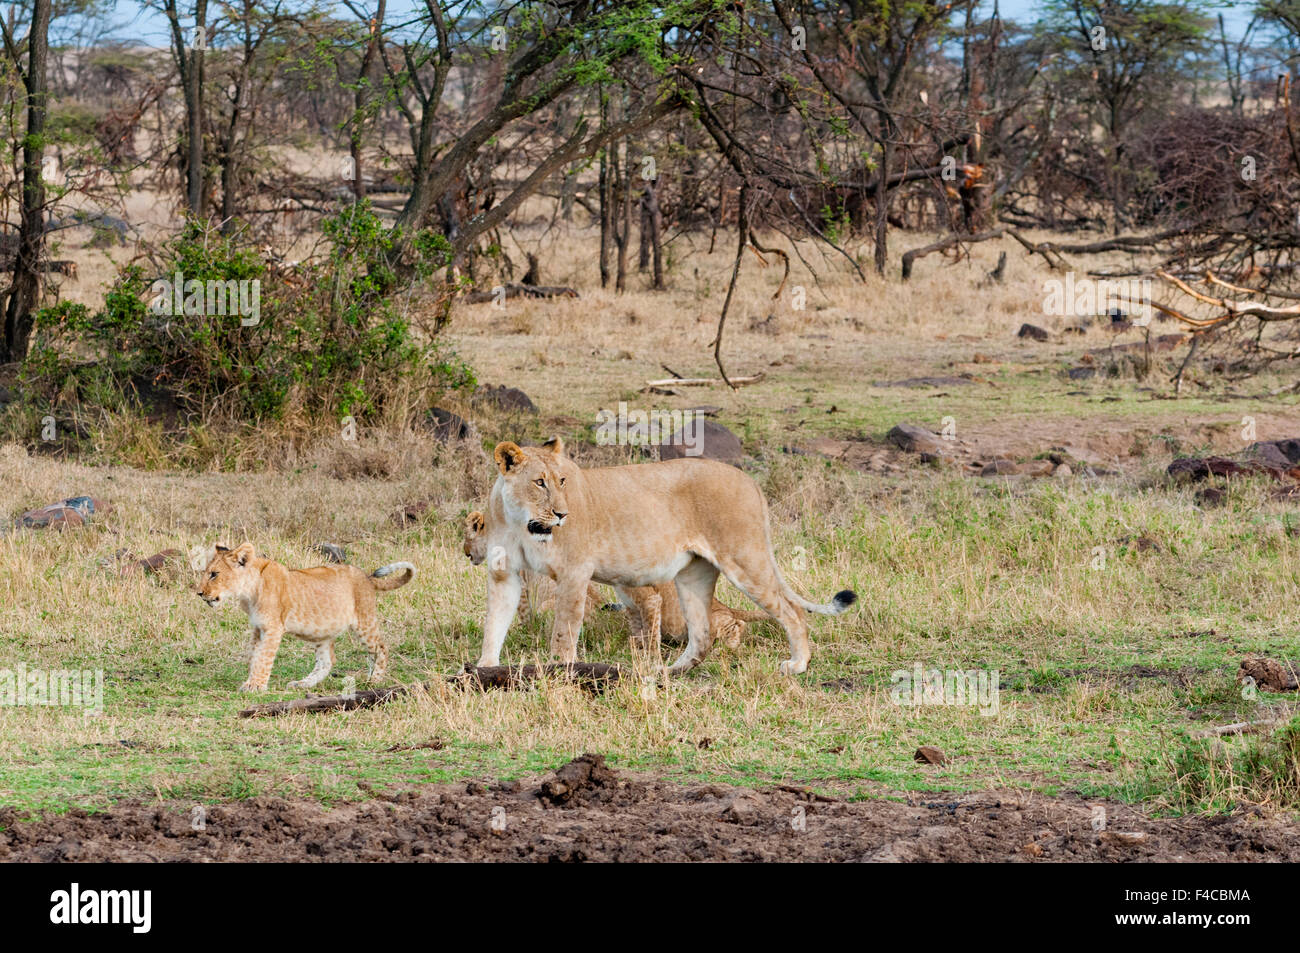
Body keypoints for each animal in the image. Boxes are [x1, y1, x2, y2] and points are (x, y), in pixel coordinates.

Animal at [197, 542, 415, 692]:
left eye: (214, 574)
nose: (199, 593)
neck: (248, 592)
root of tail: (367, 577)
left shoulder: (273, 627)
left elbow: (263, 657)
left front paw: (255, 686)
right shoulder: (257, 628)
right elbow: (253, 655)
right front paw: (252, 681)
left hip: (364, 621)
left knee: (380, 648)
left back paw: (374, 680)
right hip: (324, 631)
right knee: (327, 661)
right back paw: (302, 684)